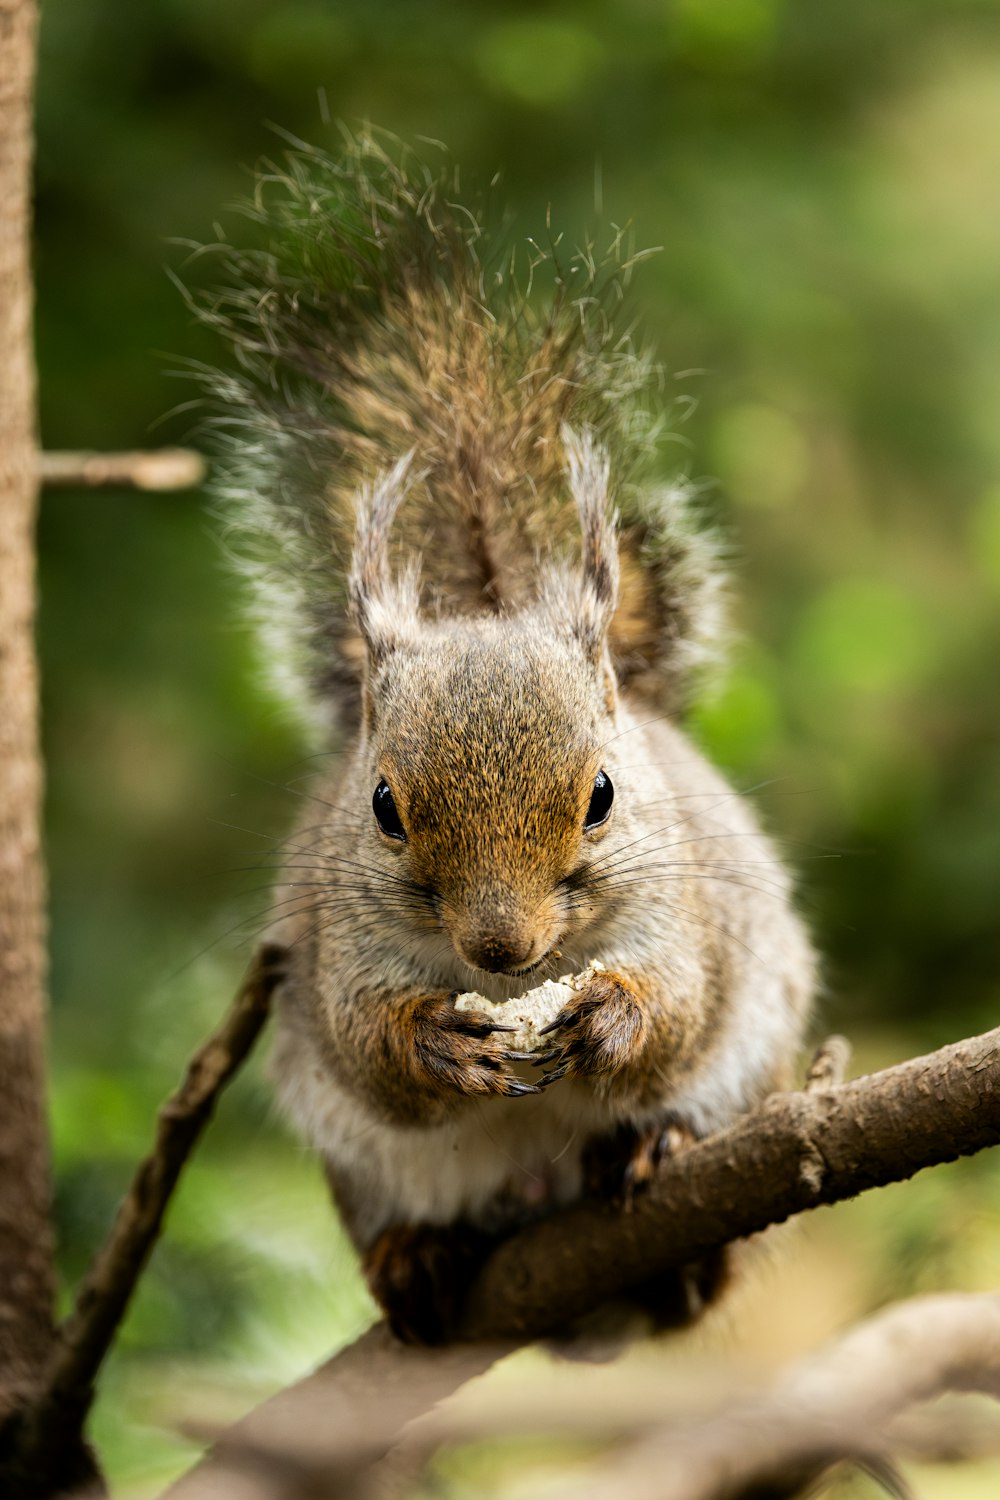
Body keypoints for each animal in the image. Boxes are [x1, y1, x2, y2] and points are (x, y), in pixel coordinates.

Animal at [199, 135, 815, 1344]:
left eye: (605, 796)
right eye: (382, 806)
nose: (500, 952)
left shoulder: (683, 912)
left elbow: (678, 1005)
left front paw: (616, 1022)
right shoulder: (341, 951)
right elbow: (366, 1046)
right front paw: (435, 1043)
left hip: (756, 1070)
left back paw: (664, 1178)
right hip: (364, 1169)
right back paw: (413, 1259)